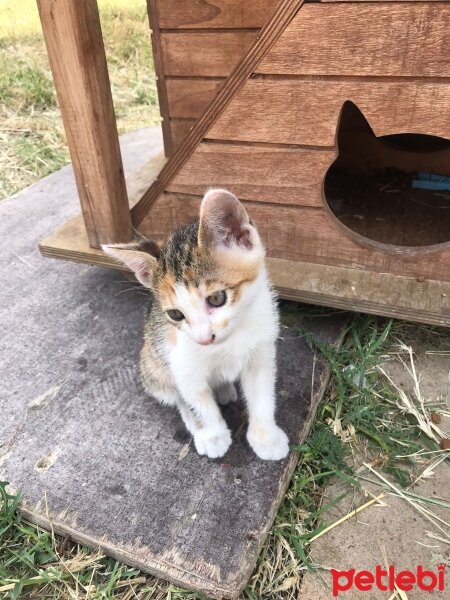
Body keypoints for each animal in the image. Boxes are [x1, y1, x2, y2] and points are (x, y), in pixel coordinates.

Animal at [103, 190, 288, 462]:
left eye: (216, 298)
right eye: (175, 314)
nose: (203, 338)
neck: (231, 339)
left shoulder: (262, 351)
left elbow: (262, 395)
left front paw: (266, 437)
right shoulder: (180, 360)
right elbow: (196, 400)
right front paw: (212, 435)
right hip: (152, 363)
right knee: (173, 393)